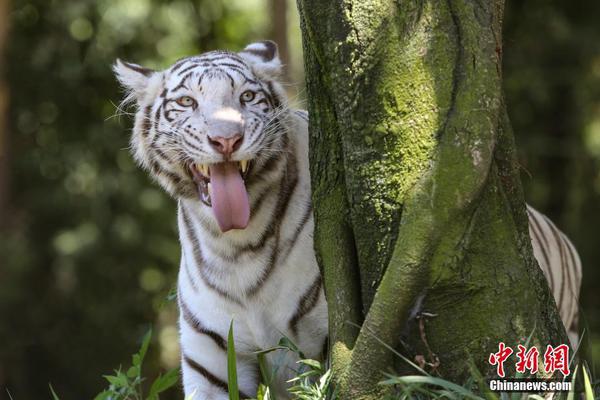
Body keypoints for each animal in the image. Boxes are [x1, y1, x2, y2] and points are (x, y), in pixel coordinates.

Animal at [113, 41, 580, 400]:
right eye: (187, 103)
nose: (226, 140)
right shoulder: (211, 362)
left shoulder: (324, 344)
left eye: (245, 98)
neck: (235, 245)